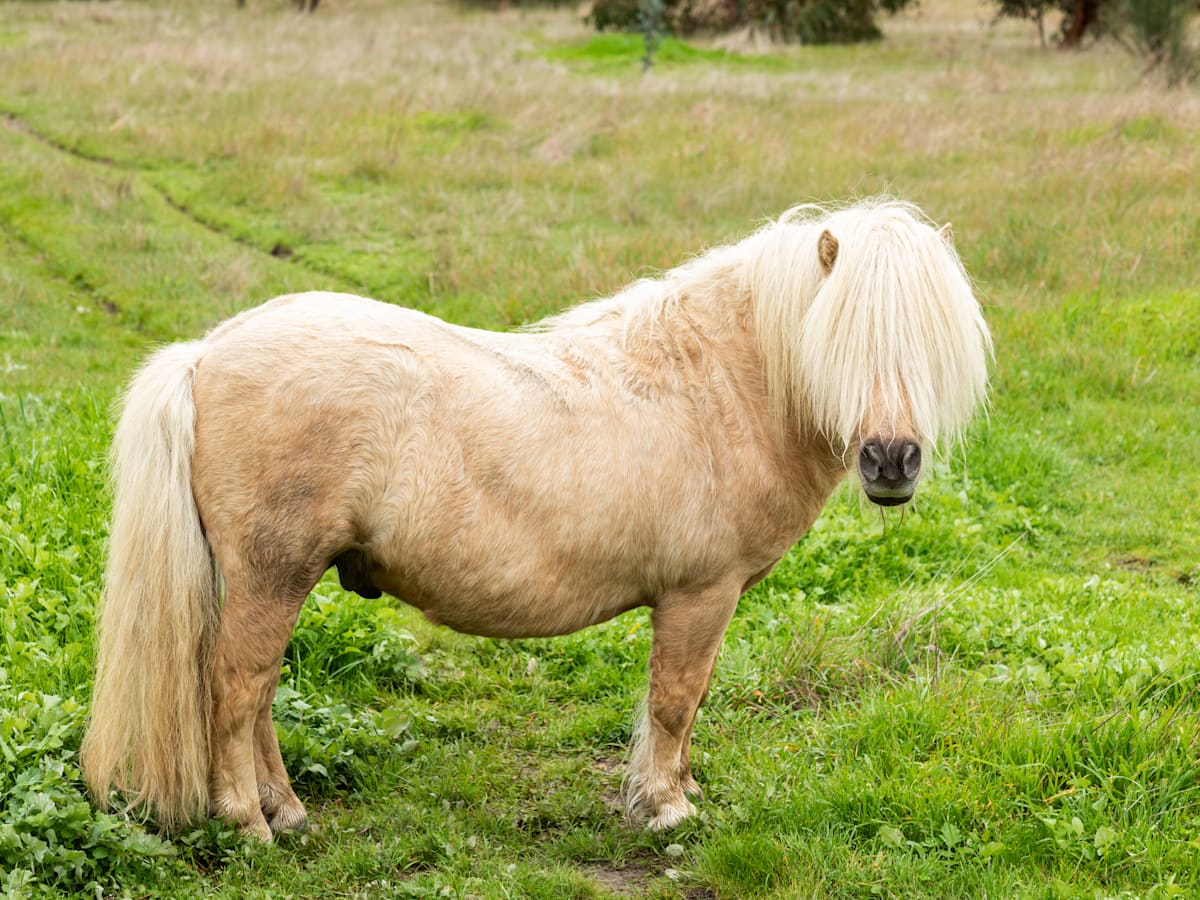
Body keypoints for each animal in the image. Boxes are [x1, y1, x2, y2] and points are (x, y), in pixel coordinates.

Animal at [81, 199, 992, 841]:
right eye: (839, 340)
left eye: (929, 343)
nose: (890, 462)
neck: (715, 386)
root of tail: (206, 354)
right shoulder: (700, 596)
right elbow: (675, 699)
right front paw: (666, 807)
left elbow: (691, 702)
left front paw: (684, 787)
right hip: (272, 575)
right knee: (237, 690)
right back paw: (248, 822)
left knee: (260, 694)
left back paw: (286, 811)